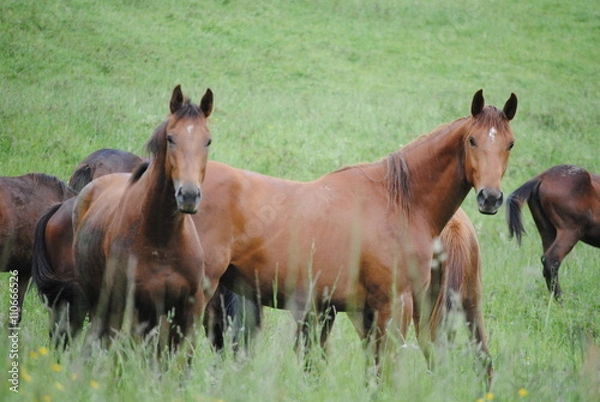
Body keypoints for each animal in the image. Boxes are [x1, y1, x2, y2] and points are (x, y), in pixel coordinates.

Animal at [71, 85, 213, 352]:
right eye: (170, 138)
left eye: (207, 141)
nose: (189, 195)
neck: (162, 240)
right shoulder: (125, 307)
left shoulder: (187, 310)